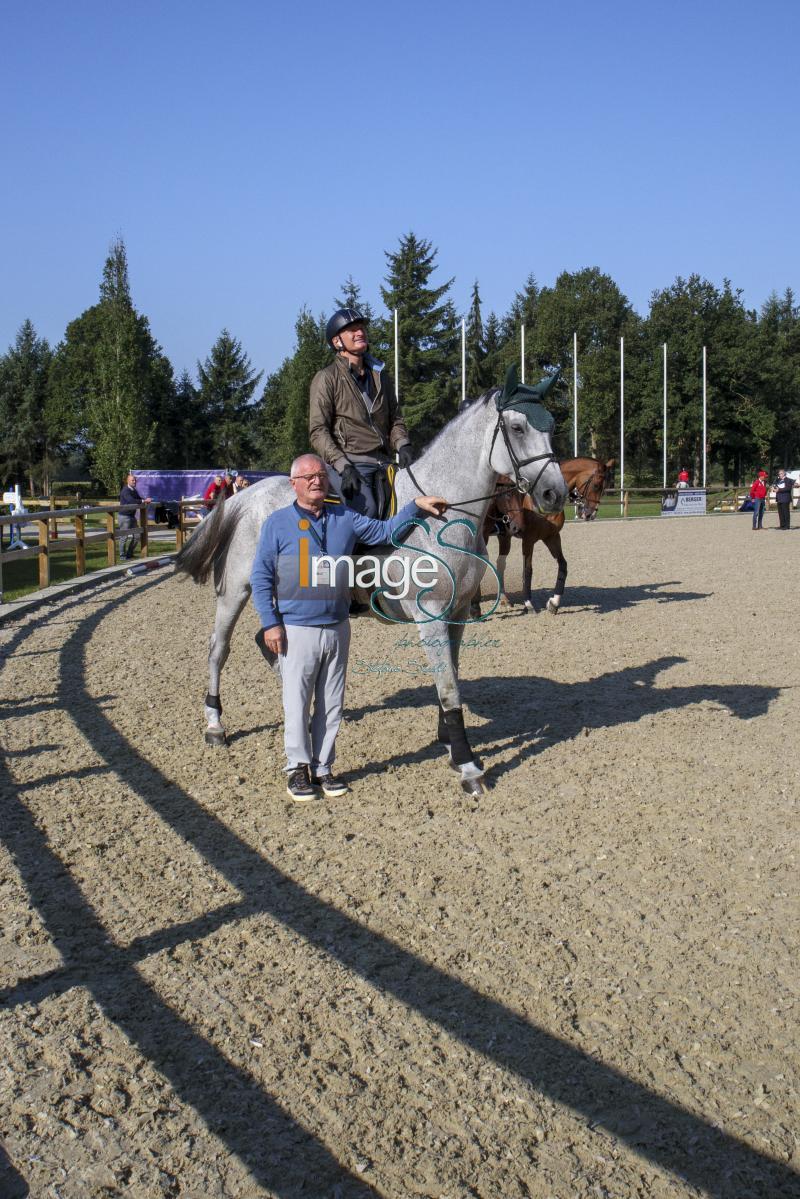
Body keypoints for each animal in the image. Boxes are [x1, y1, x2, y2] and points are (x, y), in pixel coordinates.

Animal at [173, 378, 566, 796]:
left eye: (552, 426)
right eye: (518, 428)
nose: (554, 494)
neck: (441, 514)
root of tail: (247, 495)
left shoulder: (457, 613)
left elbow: (451, 676)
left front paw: (447, 740)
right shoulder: (431, 617)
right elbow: (448, 687)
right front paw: (467, 765)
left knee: (270, 643)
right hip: (236, 590)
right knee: (219, 648)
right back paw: (215, 725)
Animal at [474, 453, 614, 613]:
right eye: (596, 485)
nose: (590, 514)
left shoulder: (552, 537)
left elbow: (563, 565)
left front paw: (554, 602)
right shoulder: (528, 540)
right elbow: (527, 570)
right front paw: (528, 603)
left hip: (504, 537)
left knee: (500, 563)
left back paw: (504, 598)